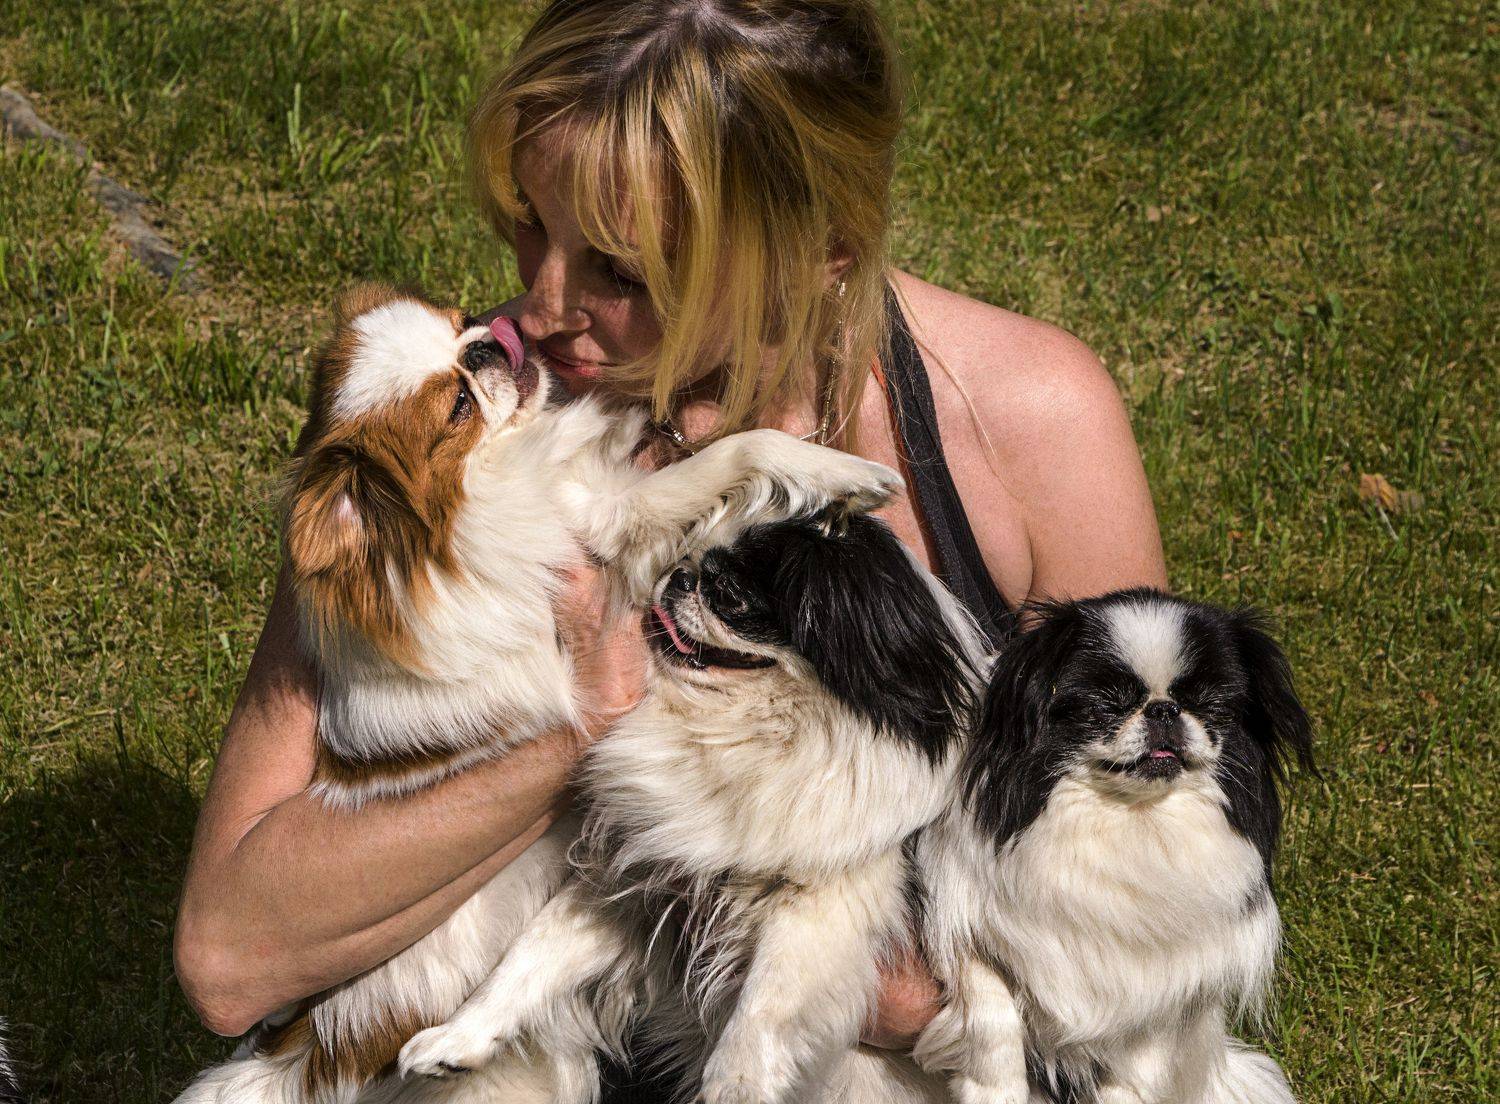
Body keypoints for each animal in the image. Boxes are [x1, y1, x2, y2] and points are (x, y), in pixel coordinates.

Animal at [396, 511, 990, 1103]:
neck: (730, 729)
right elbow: (529, 959)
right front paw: (455, 1040)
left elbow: (763, 1006)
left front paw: (733, 1086)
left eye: (731, 594)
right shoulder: (632, 882)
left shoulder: (825, 903)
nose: (680, 577)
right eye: (687, 555)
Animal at [915, 588, 1313, 1104]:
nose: (1163, 710)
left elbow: (1135, 1066)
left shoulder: (1162, 994)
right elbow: (990, 1012)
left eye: (1211, 705)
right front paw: (995, 1090)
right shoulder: (965, 920)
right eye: (1104, 705)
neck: (1133, 820)